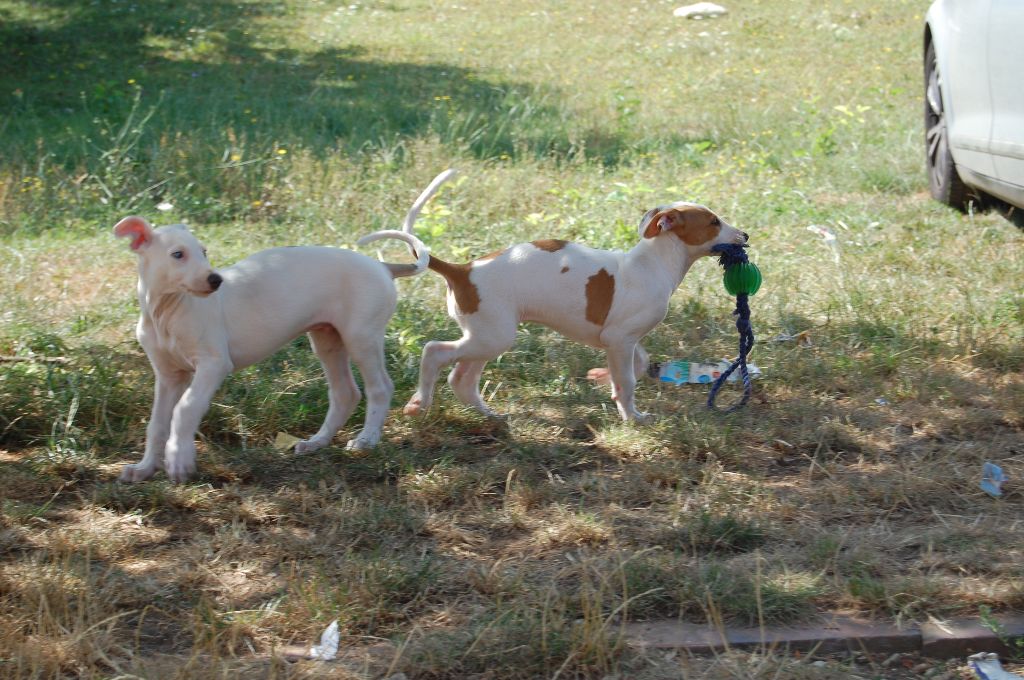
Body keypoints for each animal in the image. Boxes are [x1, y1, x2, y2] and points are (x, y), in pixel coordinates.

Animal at [114, 175, 450, 483]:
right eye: (178, 254)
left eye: (204, 251)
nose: (215, 280)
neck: (167, 311)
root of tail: (381, 267)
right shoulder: (169, 375)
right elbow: (157, 423)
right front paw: (145, 468)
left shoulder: (213, 364)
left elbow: (185, 409)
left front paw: (178, 461)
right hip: (327, 340)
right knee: (345, 393)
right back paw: (316, 443)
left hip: (361, 337)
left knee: (380, 387)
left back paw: (366, 440)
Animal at [403, 196, 749, 419]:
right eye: (714, 221)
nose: (746, 234)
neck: (652, 264)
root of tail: (463, 270)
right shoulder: (620, 339)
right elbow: (628, 381)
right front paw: (632, 417)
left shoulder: (622, 339)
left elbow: (638, 364)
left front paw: (602, 377)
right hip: (492, 336)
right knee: (434, 352)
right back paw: (419, 404)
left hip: (486, 336)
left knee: (461, 378)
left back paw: (488, 415)